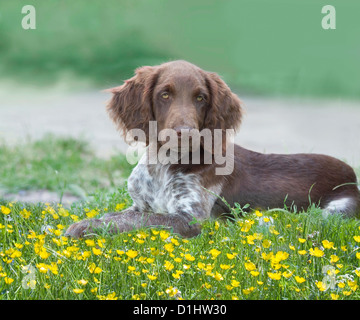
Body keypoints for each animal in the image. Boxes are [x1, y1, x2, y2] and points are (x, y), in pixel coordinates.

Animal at [65, 61, 360, 239]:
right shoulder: (139, 205)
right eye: (164, 94)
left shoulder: (190, 218)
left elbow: (139, 221)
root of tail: (352, 174)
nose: (185, 132)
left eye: (200, 98)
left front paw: (83, 227)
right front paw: (89, 222)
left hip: (335, 210)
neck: (162, 165)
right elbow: (119, 215)